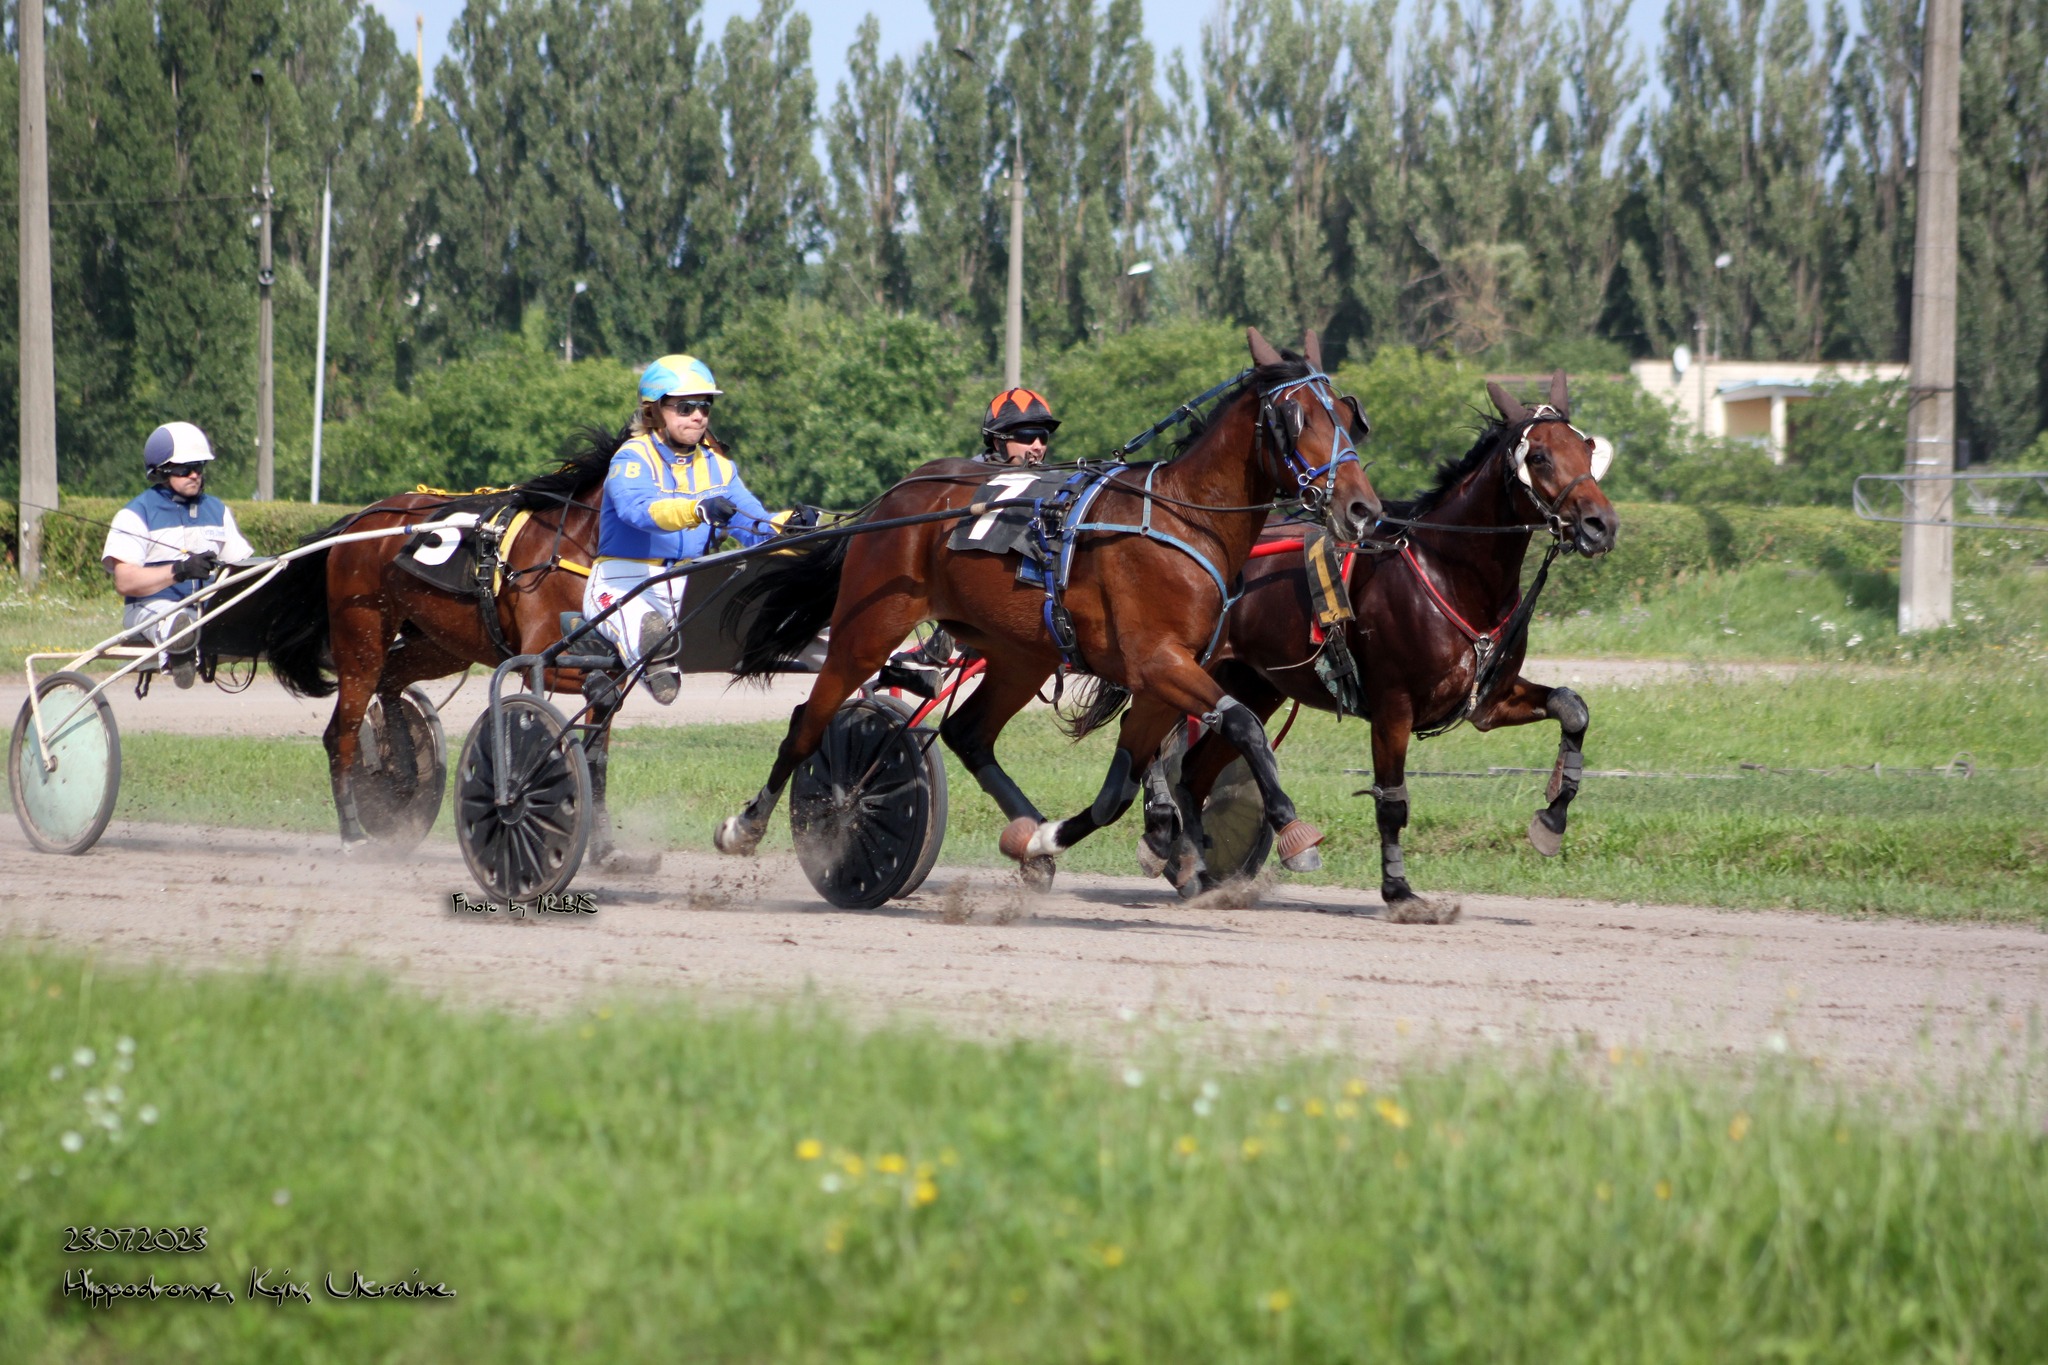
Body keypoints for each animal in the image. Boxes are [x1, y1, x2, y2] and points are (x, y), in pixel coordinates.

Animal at [253, 427, 638, 863]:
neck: (572, 545)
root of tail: (358, 522)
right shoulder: (542, 656)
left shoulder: (605, 662)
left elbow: (597, 750)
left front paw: (605, 848)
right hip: (361, 639)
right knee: (342, 733)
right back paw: (353, 834)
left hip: (441, 645)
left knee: (390, 680)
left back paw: (403, 773)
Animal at [716, 327, 1376, 892]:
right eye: (1298, 417)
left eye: (1348, 418)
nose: (1363, 510)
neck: (1181, 517)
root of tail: (897, 497)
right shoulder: (1159, 664)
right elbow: (1243, 725)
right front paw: (1292, 831)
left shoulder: (1163, 678)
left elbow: (1120, 790)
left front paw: (1043, 841)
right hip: (868, 626)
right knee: (809, 723)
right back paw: (755, 824)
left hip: (1018, 653)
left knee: (966, 733)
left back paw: (1027, 834)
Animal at [1155, 374, 1613, 916]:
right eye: (1539, 456)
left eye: (1587, 449)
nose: (1601, 524)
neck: (1454, 572)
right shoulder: (1394, 706)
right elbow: (1392, 802)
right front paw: (1399, 891)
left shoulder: (1489, 701)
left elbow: (1572, 708)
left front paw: (1552, 819)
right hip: (1178, 666)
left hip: (1254, 685)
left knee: (1196, 773)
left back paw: (1198, 871)